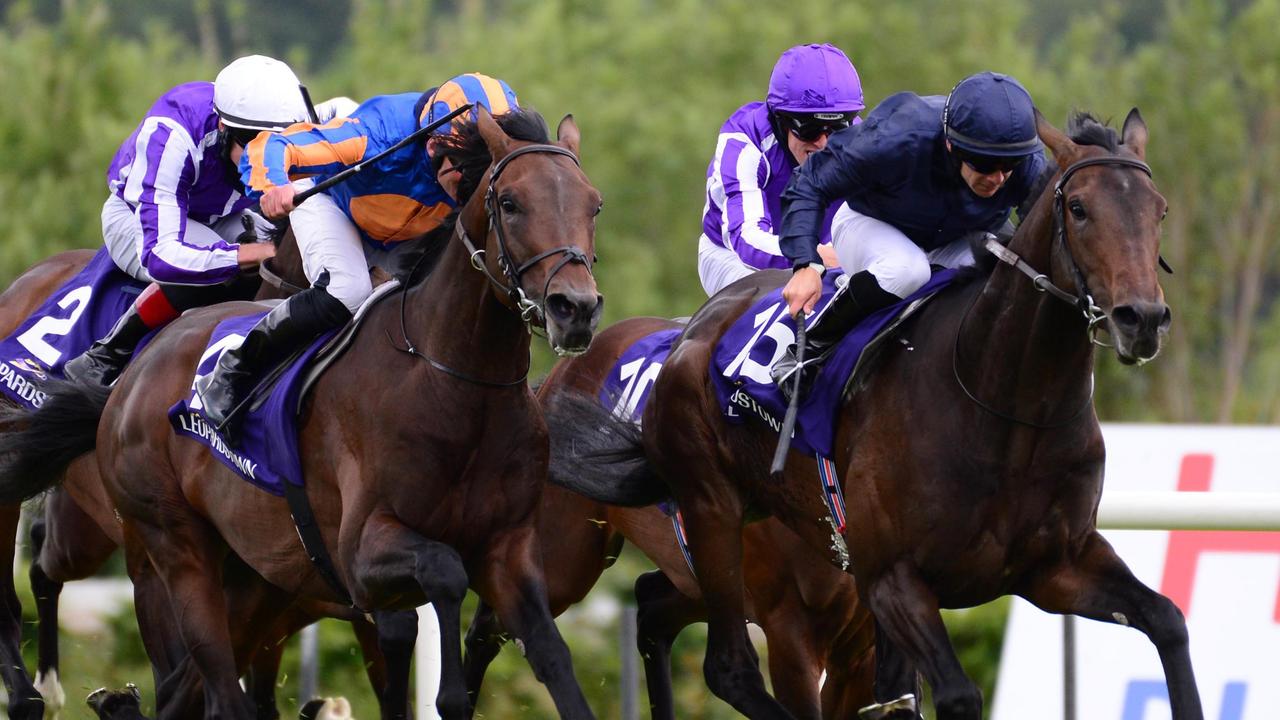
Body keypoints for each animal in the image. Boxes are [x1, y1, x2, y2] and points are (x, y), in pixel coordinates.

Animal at [547, 109, 1198, 712]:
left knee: (657, 611)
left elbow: (1168, 622)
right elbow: (956, 695)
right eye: (1080, 209)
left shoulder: (1057, 567)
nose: (1141, 318)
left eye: (1160, 210)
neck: (1005, 411)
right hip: (701, 514)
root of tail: (692, 333)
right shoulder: (884, 584)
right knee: (725, 666)